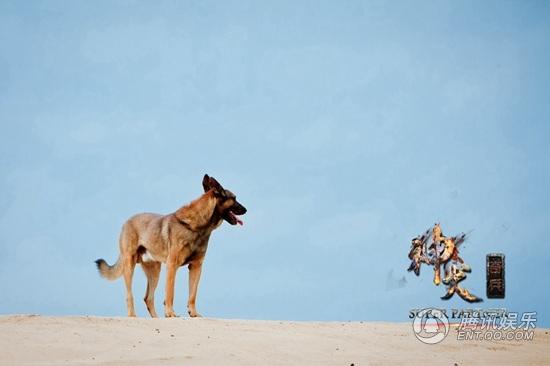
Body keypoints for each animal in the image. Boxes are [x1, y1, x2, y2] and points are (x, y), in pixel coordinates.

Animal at [96, 174, 248, 318]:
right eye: (234, 198)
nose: (246, 209)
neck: (198, 226)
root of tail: (127, 221)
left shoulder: (196, 267)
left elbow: (192, 294)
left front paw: (193, 313)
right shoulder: (172, 265)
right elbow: (170, 292)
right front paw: (170, 313)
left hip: (154, 271)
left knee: (148, 298)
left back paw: (156, 318)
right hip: (129, 265)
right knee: (130, 295)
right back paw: (132, 315)